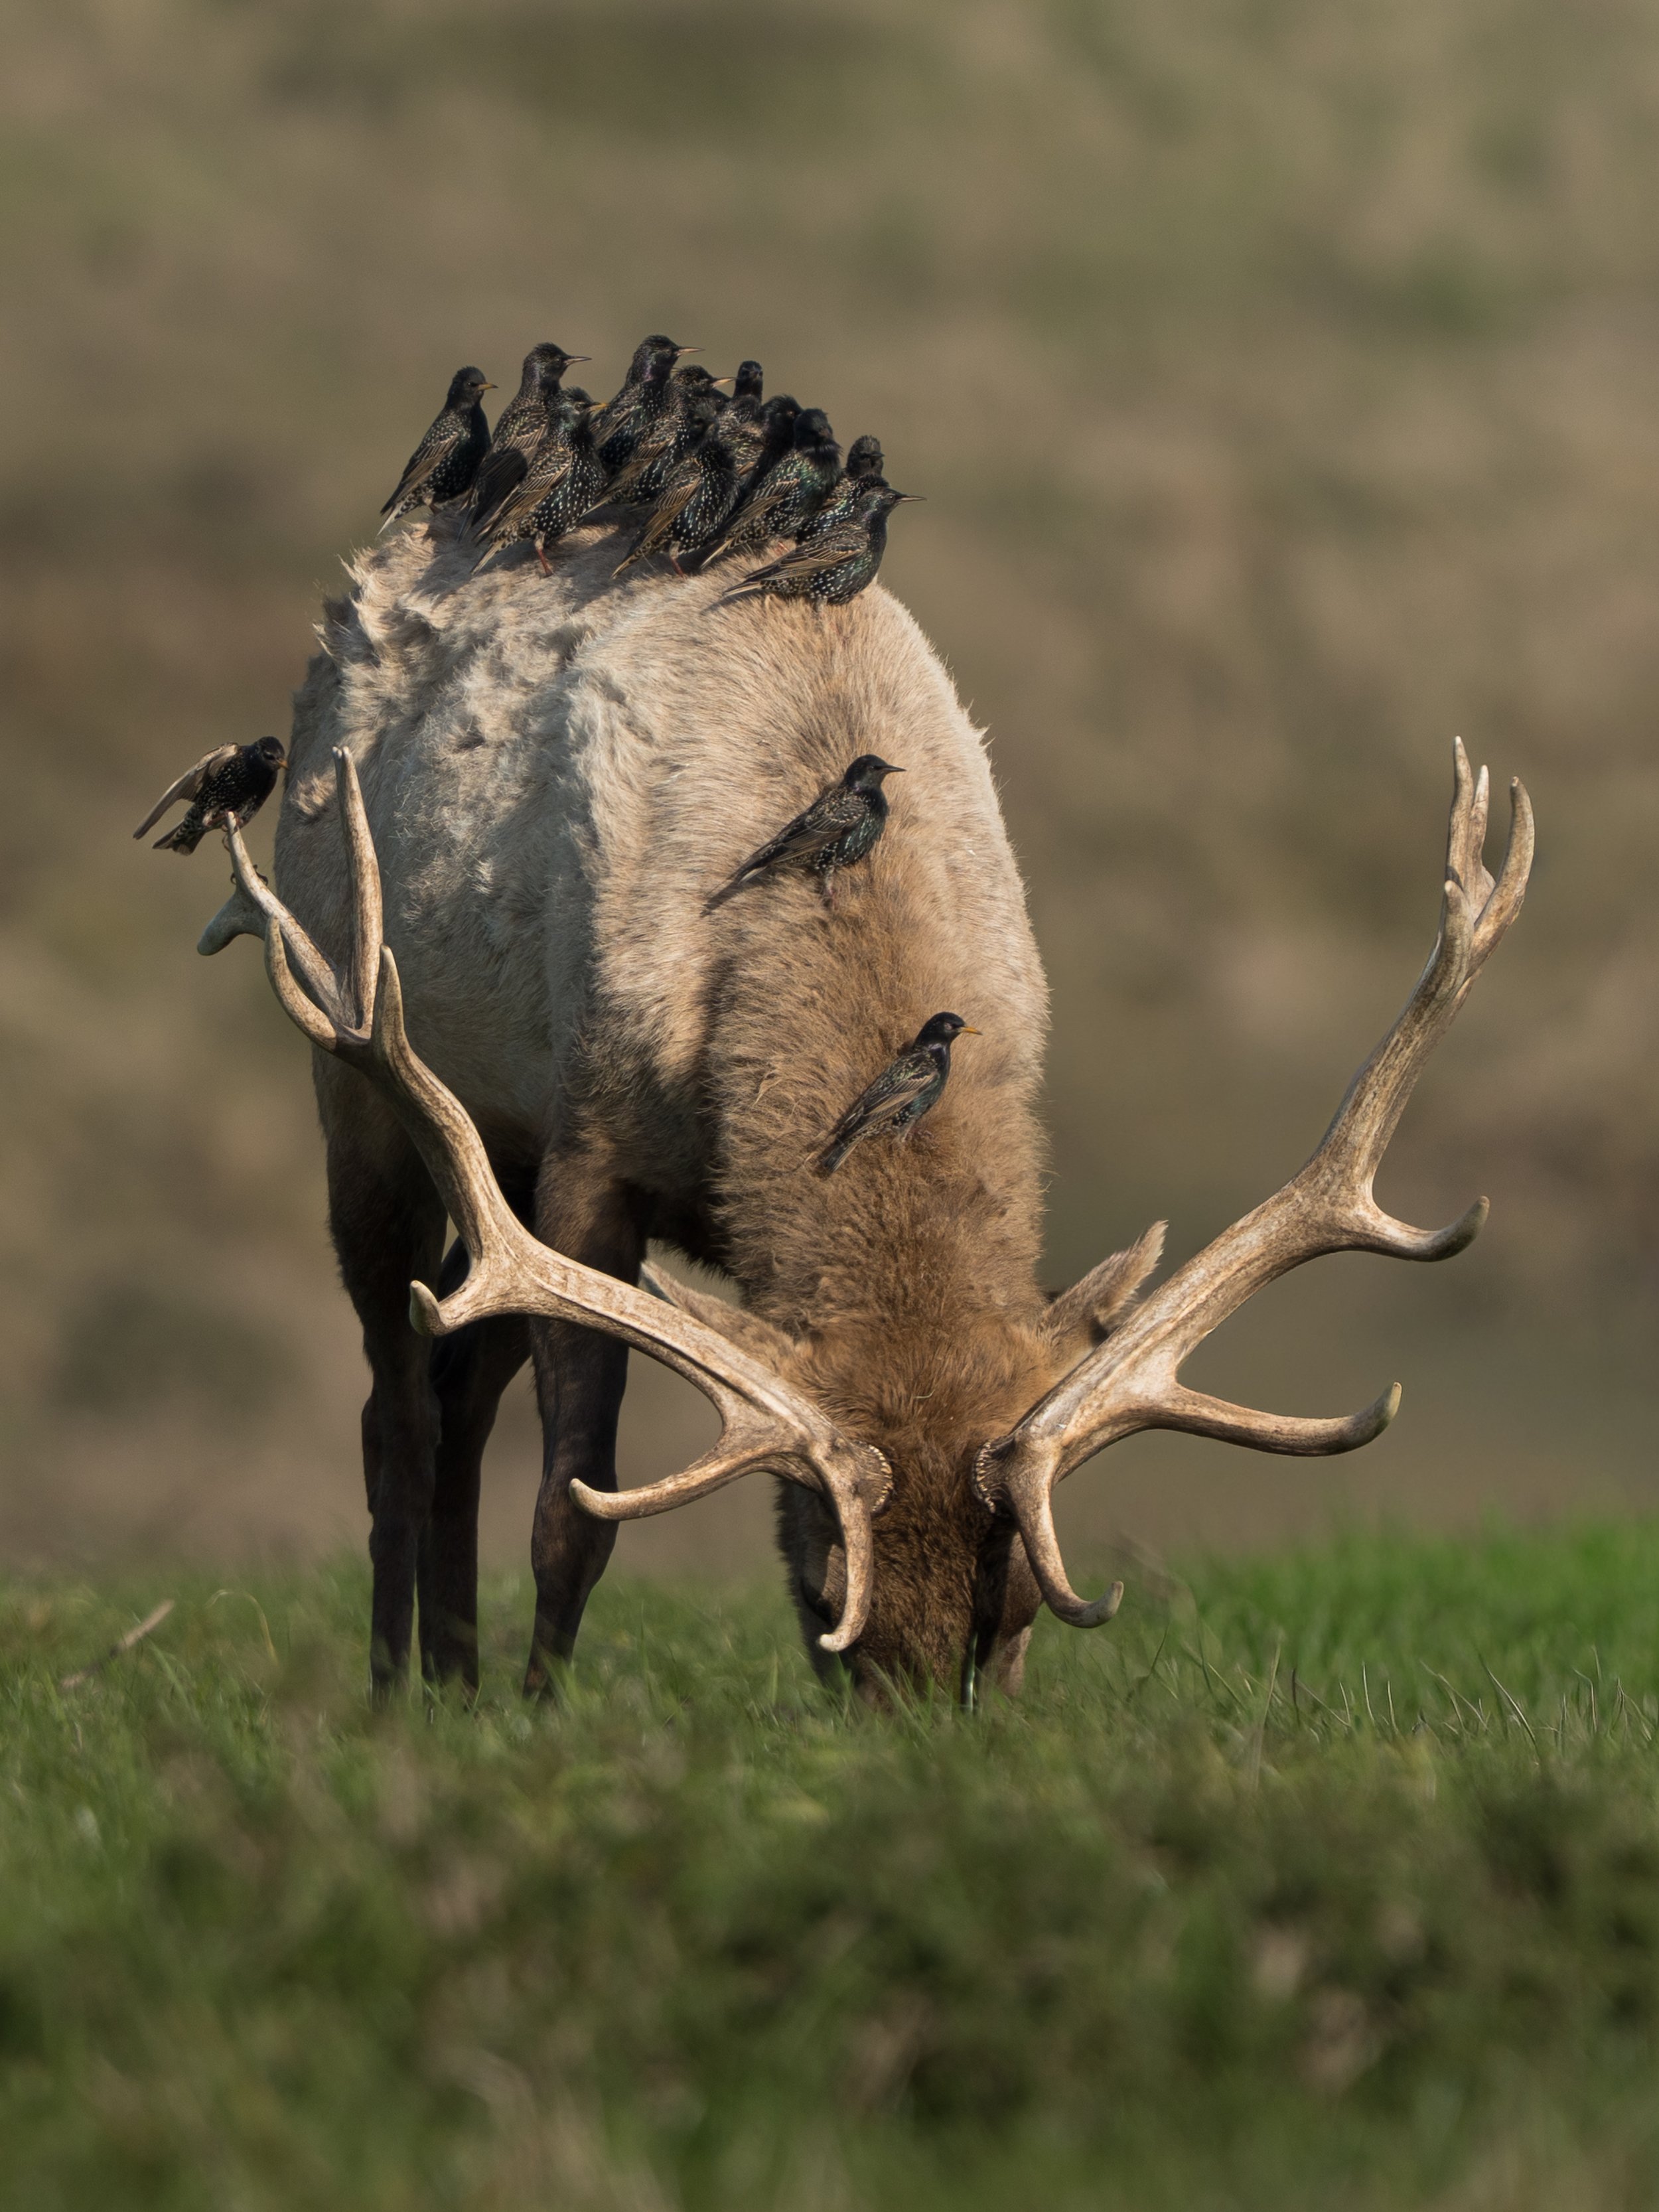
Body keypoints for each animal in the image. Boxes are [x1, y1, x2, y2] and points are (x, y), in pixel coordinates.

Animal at [196, 510, 1532, 1702]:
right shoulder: (588, 1153)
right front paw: (536, 1721)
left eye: (1015, 1610)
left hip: (493, 1165)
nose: (924, 1743)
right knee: (395, 1402)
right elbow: (574, 1506)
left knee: (458, 1380)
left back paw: (451, 1677)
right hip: (364, 1090)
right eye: (824, 1587)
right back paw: (398, 1694)